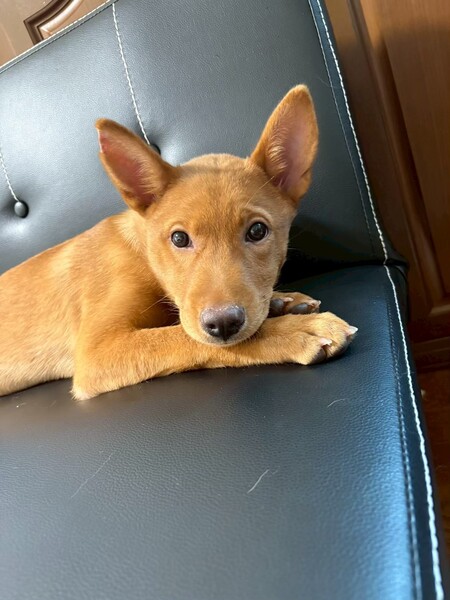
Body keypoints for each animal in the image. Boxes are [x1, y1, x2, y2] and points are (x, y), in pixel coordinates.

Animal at [0, 85, 356, 400]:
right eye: (179, 238)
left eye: (257, 231)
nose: (223, 324)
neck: (144, 257)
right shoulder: (97, 352)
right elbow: (181, 337)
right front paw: (296, 330)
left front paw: (285, 301)